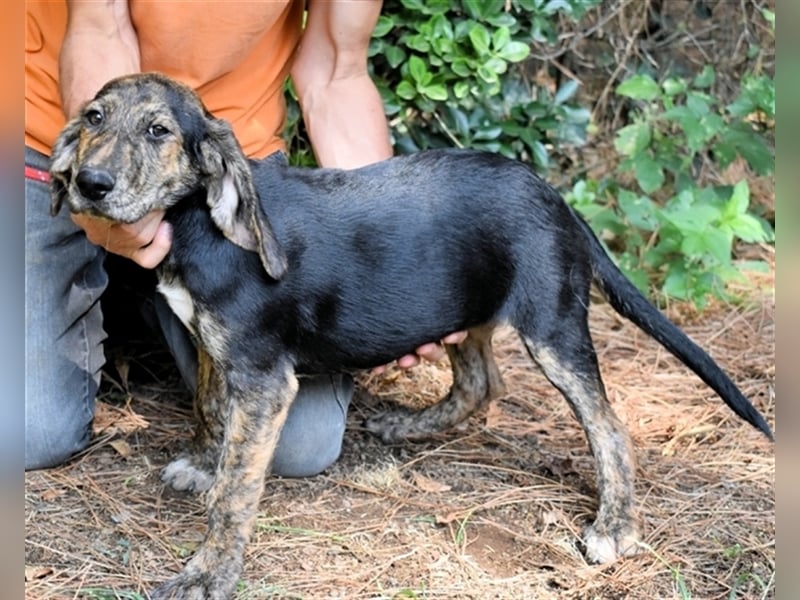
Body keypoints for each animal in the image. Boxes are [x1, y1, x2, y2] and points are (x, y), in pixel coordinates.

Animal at [50, 75, 776, 600]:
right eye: (94, 118)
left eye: (158, 130)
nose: (91, 184)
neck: (198, 218)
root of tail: (558, 199)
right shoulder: (214, 347)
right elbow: (207, 409)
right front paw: (202, 462)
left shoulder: (262, 376)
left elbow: (237, 490)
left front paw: (208, 573)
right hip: (460, 305)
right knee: (484, 380)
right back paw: (408, 426)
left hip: (552, 323)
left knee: (608, 423)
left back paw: (614, 527)